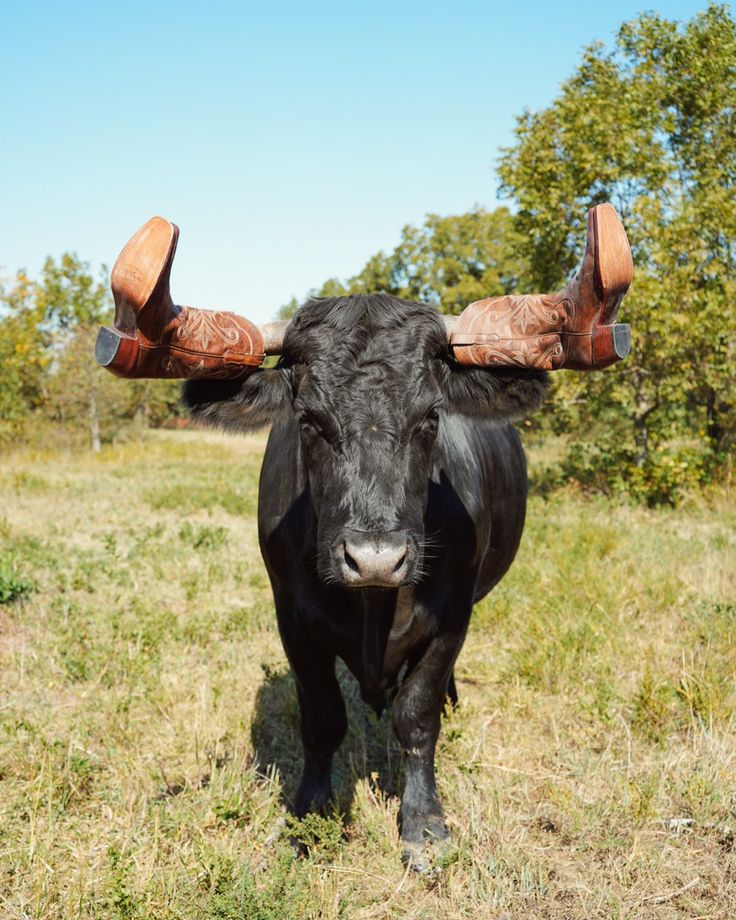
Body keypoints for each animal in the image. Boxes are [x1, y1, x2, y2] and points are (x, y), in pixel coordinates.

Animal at [187, 294, 548, 868]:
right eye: (309, 420)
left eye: (430, 417)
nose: (375, 559)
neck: (376, 608)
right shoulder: (291, 618)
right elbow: (322, 718)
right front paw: (308, 816)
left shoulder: (453, 617)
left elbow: (417, 715)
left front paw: (423, 824)